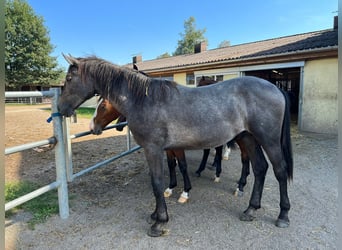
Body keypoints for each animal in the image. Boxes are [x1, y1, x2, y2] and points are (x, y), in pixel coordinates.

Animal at [58, 54, 294, 236]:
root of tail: (275, 88)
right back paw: (250, 210)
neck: (145, 100)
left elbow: (157, 182)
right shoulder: (163, 150)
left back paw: (283, 215)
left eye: (69, 78)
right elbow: (165, 177)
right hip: (248, 138)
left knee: (280, 170)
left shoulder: (153, 149)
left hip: (269, 140)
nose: (61, 109)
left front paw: (159, 221)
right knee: (260, 168)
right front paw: (157, 213)